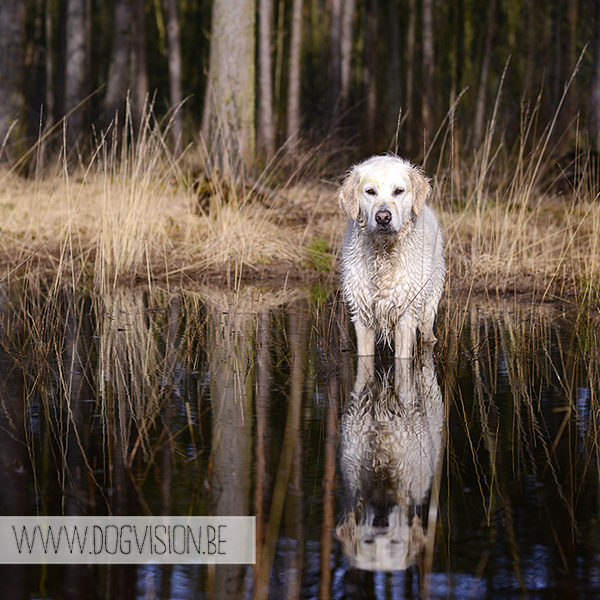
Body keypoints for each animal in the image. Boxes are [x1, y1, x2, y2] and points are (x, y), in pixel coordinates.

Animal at [338, 156, 446, 360]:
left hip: (428, 307)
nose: (382, 218)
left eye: (398, 191)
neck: (383, 252)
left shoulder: (407, 312)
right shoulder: (362, 315)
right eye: (370, 191)